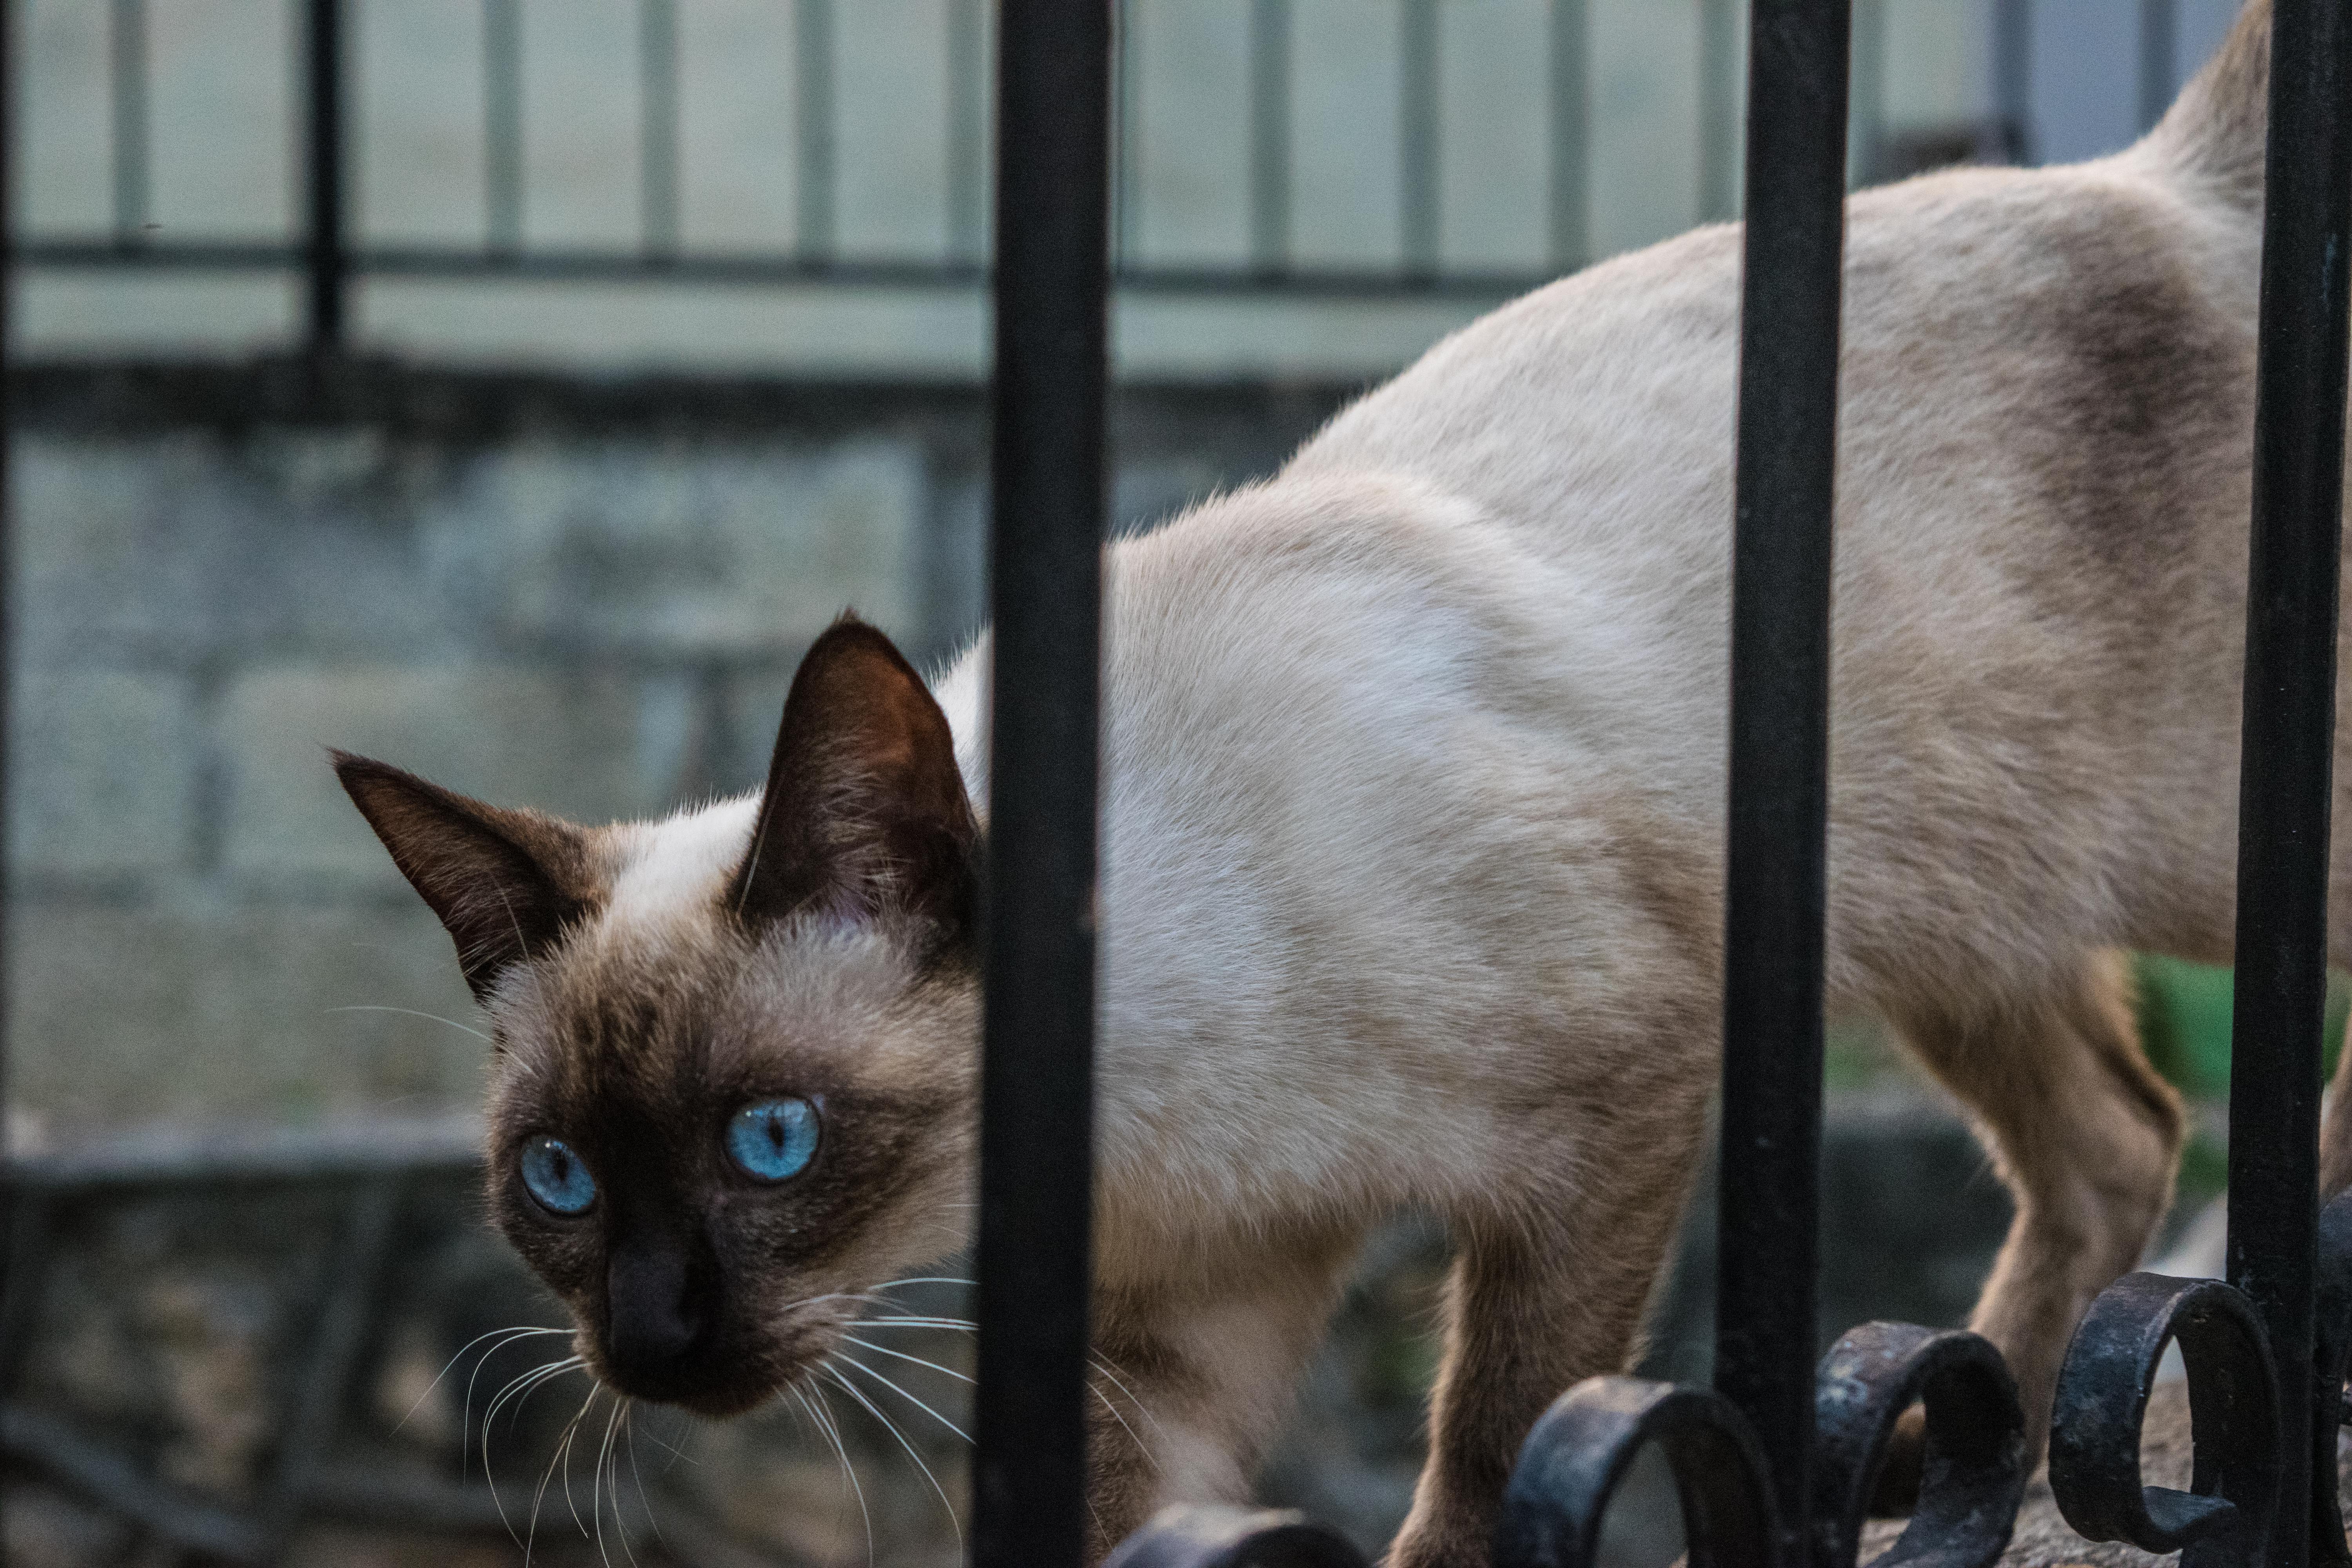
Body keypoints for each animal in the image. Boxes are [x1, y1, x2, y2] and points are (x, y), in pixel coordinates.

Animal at [336, 6, 2333, 1561]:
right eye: (558, 1178)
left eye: (773, 1140)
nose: (650, 1344)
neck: (1153, 1116)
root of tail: (2164, 179)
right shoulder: (1190, 1320)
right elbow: (1134, 1509)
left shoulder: (1608, 1105)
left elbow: (1495, 1441)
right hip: (1932, 903)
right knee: (2120, 1132)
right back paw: (1944, 1444)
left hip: (2160, 854)